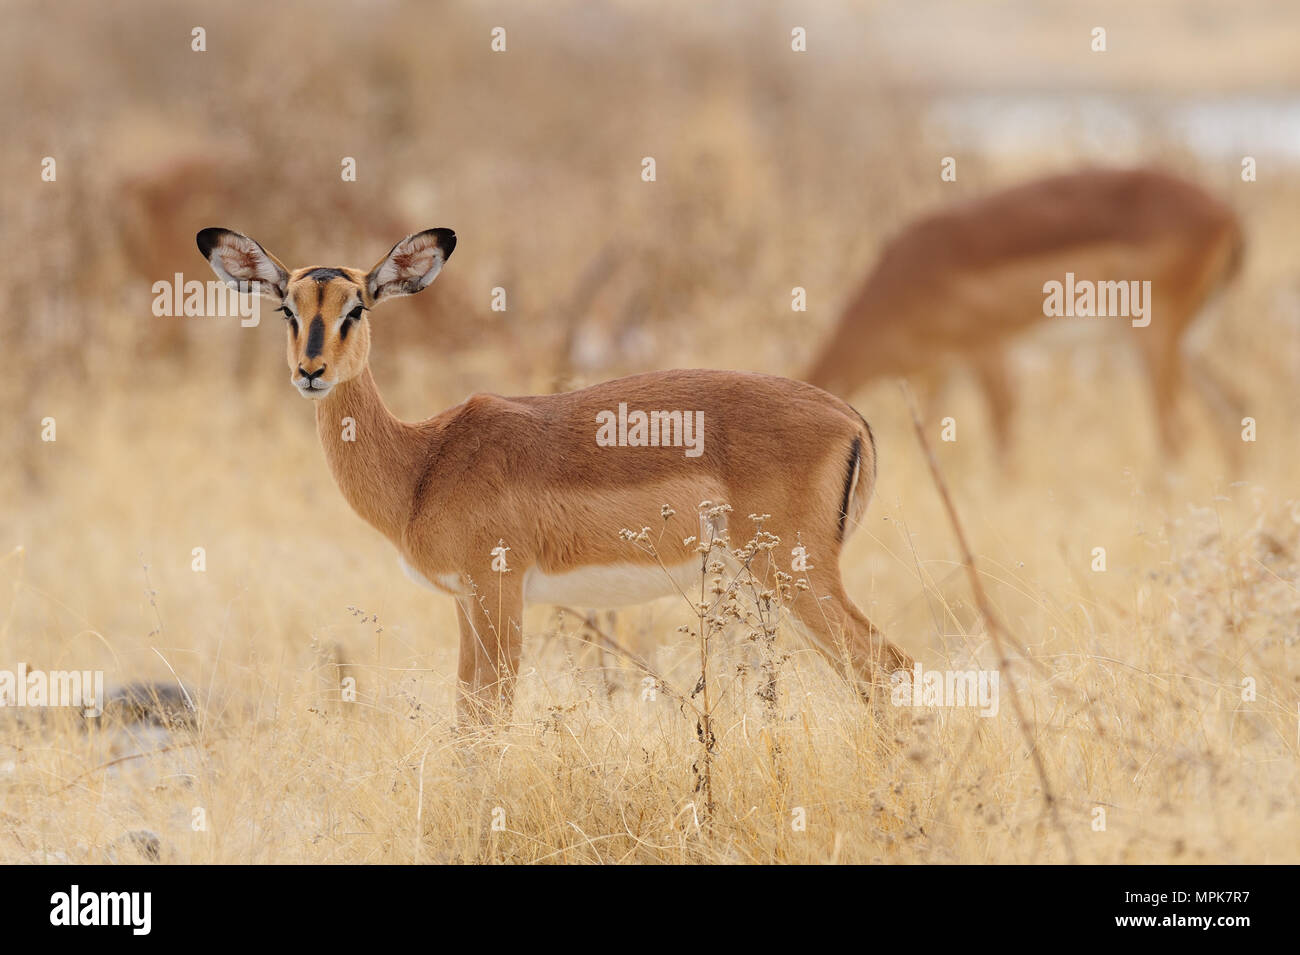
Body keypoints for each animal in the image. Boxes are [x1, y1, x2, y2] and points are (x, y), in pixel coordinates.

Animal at [197, 227, 912, 722]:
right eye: (288, 309)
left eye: (357, 308)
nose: (310, 372)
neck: (424, 462)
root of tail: (851, 417)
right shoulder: (465, 600)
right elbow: (466, 715)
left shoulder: (498, 589)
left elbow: (489, 718)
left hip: (795, 572)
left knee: (887, 666)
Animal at [803, 167, 1246, 460]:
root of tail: (1228, 214)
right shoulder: (942, 372)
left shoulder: (986, 348)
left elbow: (1003, 431)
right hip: (1181, 343)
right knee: (1233, 410)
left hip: (1153, 338)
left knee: (1177, 432)